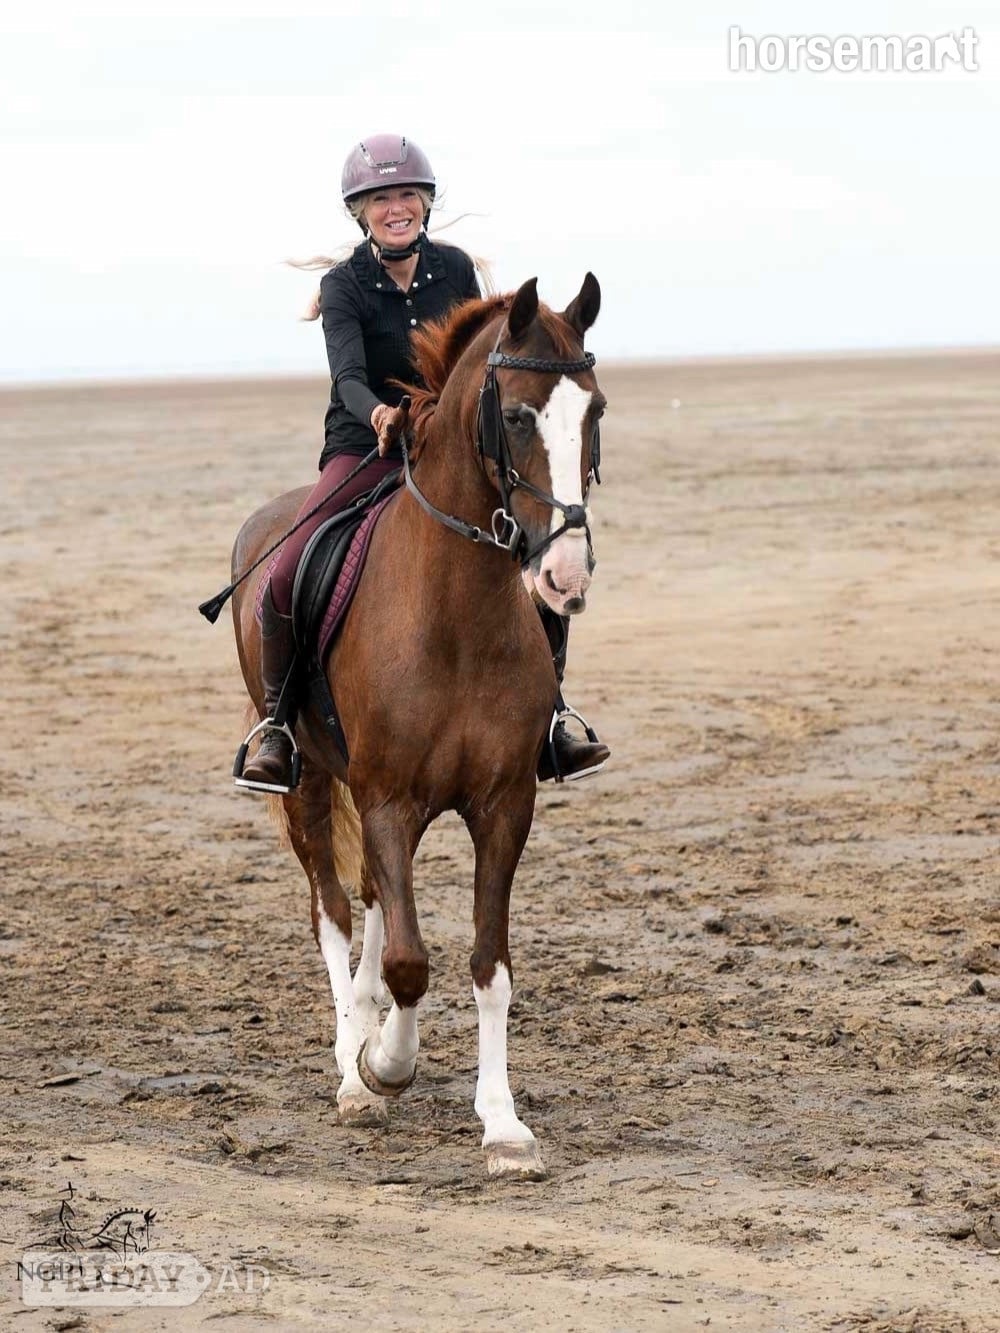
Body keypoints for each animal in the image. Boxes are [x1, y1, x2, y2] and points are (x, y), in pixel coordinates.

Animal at [230, 273, 605, 1178]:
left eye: (597, 410)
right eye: (517, 416)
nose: (565, 573)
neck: (457, 613)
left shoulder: (503, 806)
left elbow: (488, 963)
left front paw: (502, 1121)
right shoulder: (389, 801)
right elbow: (407, 960)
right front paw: (384, 1064)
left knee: (368, 902)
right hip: (308, 786)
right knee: (333, 911)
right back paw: (351, 1066)